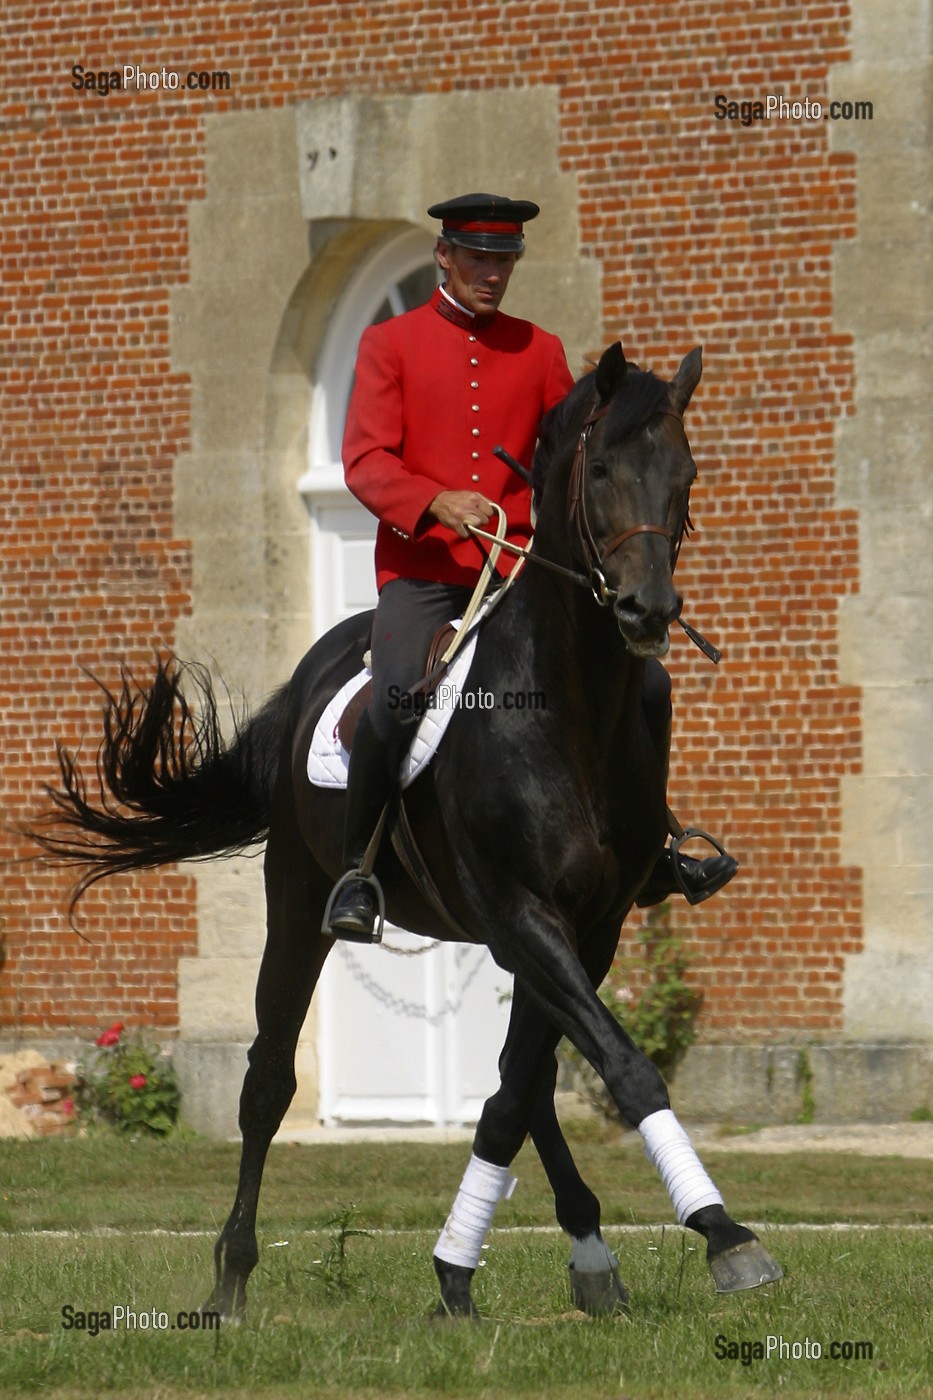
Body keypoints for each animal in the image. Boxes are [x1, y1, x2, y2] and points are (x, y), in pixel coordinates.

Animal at [32, 344, 778, 1316]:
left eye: (685, 477)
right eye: (602, 472)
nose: (646, 612)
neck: (568, 707)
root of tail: (314, 669)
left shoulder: (587, 926)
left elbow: (522, 1088)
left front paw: (466, 1265)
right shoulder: (524, 914)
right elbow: (619, 1066)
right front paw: (723, 1233)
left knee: (526, 1084)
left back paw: (580, 1248)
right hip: (299, 903)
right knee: (268, 1079)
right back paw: (231, 1275)